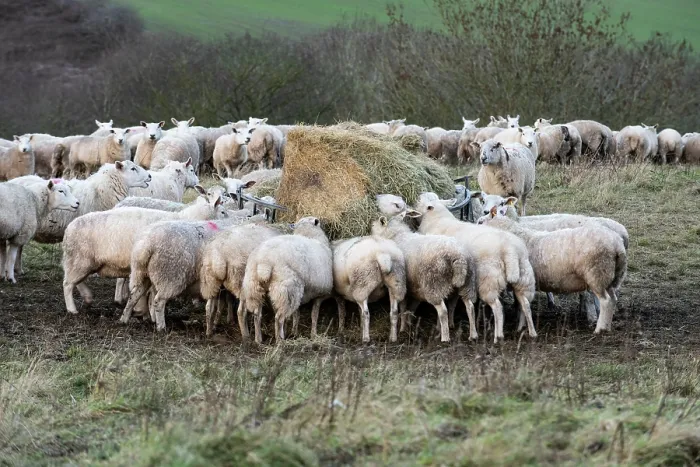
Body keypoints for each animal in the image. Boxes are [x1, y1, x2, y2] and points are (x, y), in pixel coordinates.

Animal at [61, 193, 227, 314]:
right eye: (223, 211)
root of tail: (68, 229)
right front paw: (145, 311)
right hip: (79, 259)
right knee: (68, 284)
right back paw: (72, 309)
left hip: (83, 261)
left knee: (76, 280)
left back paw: (88, 298)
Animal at [371, 213, 477, 342]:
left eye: (374, 226)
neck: (397, 236)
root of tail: (459, 257)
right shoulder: (414, 286)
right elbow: (410, 306)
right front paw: (407, 324)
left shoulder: (399, 285)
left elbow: (401, 307)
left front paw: (401, 329)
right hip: (467, 283)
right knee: (469, 306)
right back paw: (472, 335)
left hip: (433, 284)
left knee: (443, 311)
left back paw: (445, 337)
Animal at [415, 196, 537, 342]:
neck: (437, 219)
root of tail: (510, 250)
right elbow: (452, 302)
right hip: (524, 279)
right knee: (526, 304)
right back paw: (530, 332)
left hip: (489, 281)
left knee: (498, 308)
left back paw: (498, 336)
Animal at [480, 206, 627, 334]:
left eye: (480, 222)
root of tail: (617, 245)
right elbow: (521, 305)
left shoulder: (521, 281)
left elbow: (521, 305)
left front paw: (520, 326)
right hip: (610, 277)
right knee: (613, 300)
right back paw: (607, 326)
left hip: (597, 274)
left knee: (605, 301)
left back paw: (599, 329)